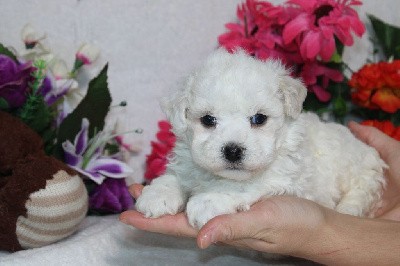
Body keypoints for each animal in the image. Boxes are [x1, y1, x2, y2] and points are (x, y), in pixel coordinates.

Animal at [136, 48, 386, 228]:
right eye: (207, 120)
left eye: (258, 118)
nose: (233, 150)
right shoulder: (189, 163)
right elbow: (176, 177)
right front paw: (158, 195)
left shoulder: (283, 178)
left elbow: (238, 187)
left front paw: (208, 200)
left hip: (362, 174)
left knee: (361, 193)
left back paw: (346, 209)